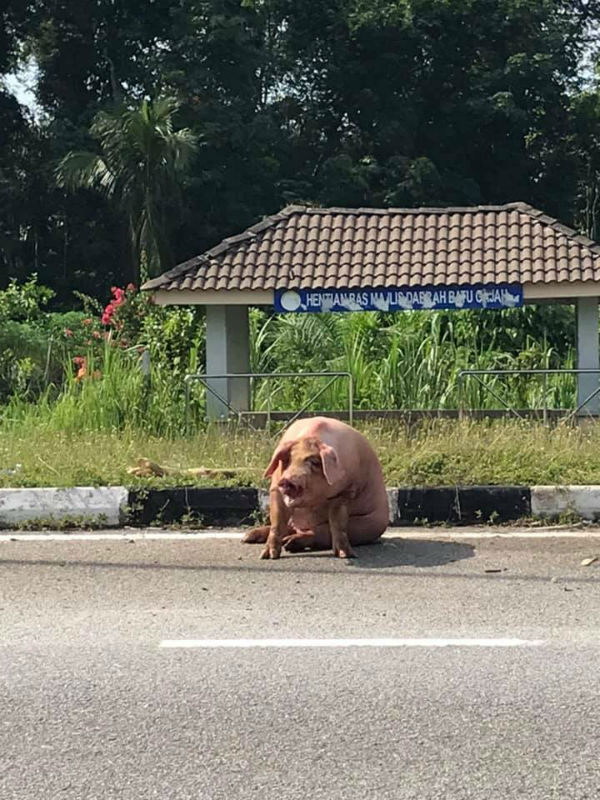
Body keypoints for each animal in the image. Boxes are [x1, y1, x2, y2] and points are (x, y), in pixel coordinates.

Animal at [243, 416, 390, 560]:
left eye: (313, 461)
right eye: (288, 460)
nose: (287, 480)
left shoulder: (346, 490)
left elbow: (338, 523)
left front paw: (346, 555)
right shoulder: (275, 488)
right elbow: (277, 523)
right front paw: (267, 556)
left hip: (367, 525)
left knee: (319, 533)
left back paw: (289, 543)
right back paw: (248, 537)